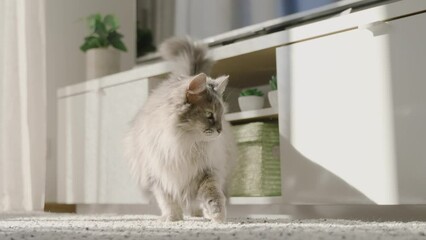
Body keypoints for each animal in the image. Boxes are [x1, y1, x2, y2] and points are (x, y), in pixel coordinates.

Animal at [125, 36, 238, 222]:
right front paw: (173, 218)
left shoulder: (206, 171)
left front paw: (217, 215)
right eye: (209, 115)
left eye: (221, 115)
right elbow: (168, 200)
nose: (220, 130)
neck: (184, 143)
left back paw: (199, 215)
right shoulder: (159, 175)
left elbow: (212, 195)